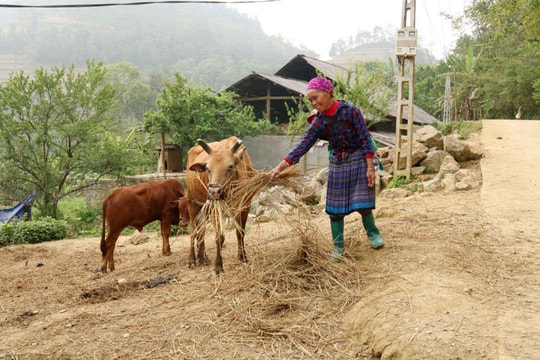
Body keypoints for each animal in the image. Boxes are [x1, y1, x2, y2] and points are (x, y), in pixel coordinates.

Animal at [188, 136, 255, 274]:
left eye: (230, 166)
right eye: (208, 168)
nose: (214, 192)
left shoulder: (245, 206)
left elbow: (240, 232)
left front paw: (242, 256)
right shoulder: (215, 208)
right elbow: (219, 237)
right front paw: (218, 265)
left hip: (204, 207)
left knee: (201, 229)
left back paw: (203, 257)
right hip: (192, 202)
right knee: (193, 229)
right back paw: (192, 259)